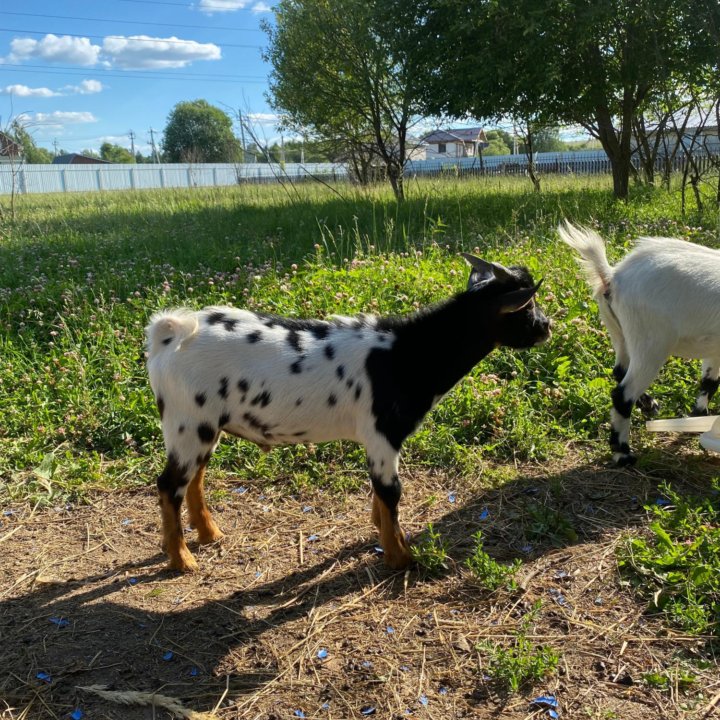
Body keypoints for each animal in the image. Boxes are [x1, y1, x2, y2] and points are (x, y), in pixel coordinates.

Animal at [146, 256, 552, 572]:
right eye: (527, 307)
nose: (547, 327)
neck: (407, 354)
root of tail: (171, 334)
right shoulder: (383, 434)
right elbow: (391, 492)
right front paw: (401, 558)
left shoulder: (378, 441)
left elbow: (380, 495)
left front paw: (385, 536)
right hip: (189, 422)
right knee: (169, 485)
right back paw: (182, 560)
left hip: (204, 426)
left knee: (194, 479)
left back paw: (210, 534)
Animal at [560, 222, 720, 464]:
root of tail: (613, 276)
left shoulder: (715, 350)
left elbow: (709, 382)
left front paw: (698, 418)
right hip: (651, 341)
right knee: (622, 394)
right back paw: (623, 453)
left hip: (619, 332)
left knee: (619, 370)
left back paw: (649, 405)